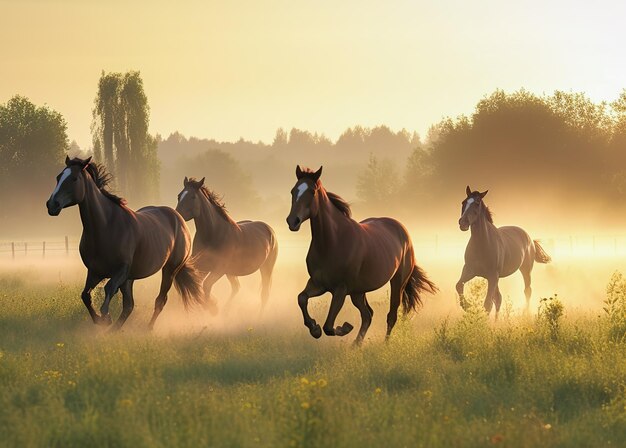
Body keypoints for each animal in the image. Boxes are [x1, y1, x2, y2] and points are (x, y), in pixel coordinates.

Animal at [46, 157, 202, 328]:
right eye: (58, 177)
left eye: (74, 178)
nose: (52, 204)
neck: (106, 227)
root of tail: (179, 219)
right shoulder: (95, 271)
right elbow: (85, 296)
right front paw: (101, 321)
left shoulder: (121, 271)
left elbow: (108, 289)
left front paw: (106, 317)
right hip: (131, 278)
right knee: (129, 305)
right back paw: (116, 329)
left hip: (170, 270)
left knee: (160, 300)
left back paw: (148, 328)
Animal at [173, 177, 276, 314]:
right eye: (179, 196)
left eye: (193, 197)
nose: (177, 216)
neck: (213, 234)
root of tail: (269, 229)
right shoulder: (201, 267)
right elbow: (198, 285)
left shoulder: (219, 269)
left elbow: (206, 286)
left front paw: (212, 308)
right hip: (231, 272)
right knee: (236, 287)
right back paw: (226, 311)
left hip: (266, 268)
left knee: (264, 294)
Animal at [286, 164, 436, 344]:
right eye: (293, 191)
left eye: (312, 191)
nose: (292, 221)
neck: (332, 243)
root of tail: (402, 229)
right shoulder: (317, 283)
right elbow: (301, 299)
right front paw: (314, 328)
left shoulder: (340, 289)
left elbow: (329, 326)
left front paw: (343, 327)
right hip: (358, 292)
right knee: (368, 315)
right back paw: (355, 345)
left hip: (397, 282)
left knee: (391, 315)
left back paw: (384, 345)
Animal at [454, 186, 552, 316]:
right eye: (463, 202)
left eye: (477, 203)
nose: (463, 222)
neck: (482, 244)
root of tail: (530, 238)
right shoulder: (470, 270)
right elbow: (459, 285)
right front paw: (467, 306)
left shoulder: (492, 276)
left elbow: (487, 304)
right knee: (498, 299)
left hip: (526, 270)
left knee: (527, 291)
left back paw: (525, 313)